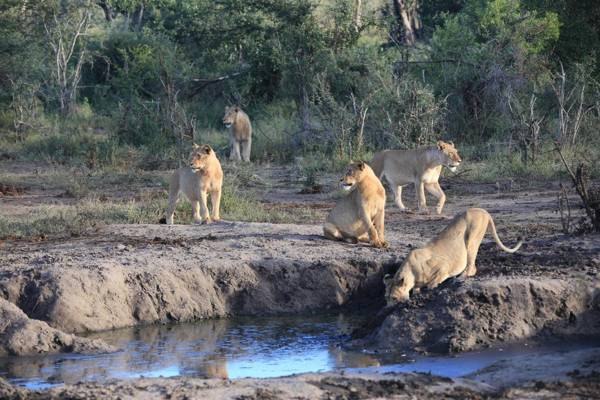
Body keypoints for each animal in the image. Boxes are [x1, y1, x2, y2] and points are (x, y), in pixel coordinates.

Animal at [384, 208, 520, 304]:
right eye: (386, 298)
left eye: (394, 298)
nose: (387, 307)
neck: (410, 273)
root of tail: (482, 210)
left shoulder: (444, 266)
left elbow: (434, 281)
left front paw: (431, 288)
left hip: (472, 238)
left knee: (472, 267)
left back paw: (460, 277)